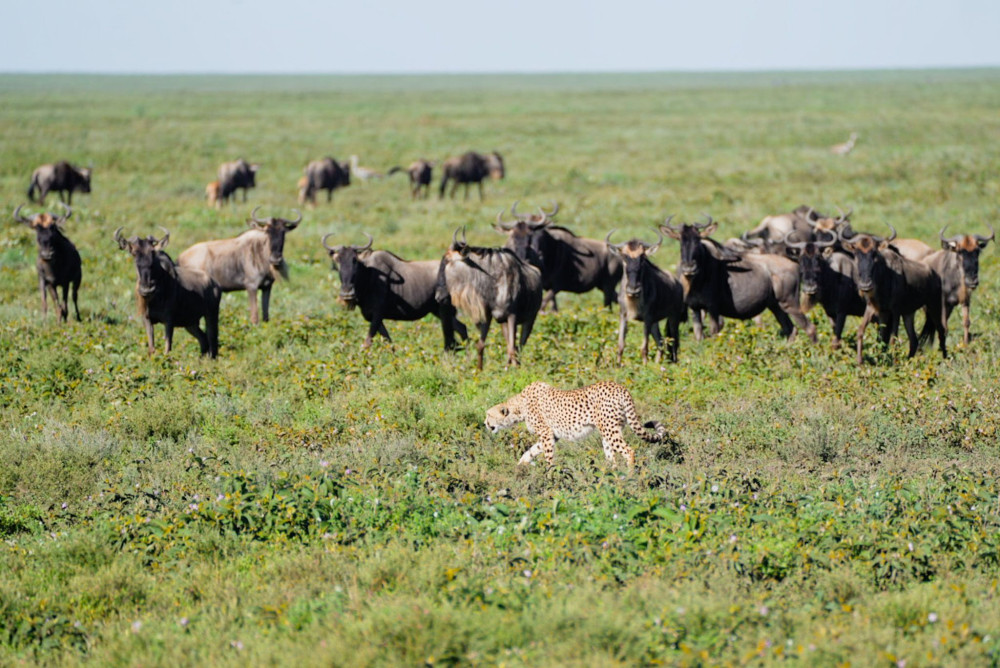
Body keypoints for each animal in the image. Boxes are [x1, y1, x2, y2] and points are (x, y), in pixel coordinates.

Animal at [482, 380, 668, 470]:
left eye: (488, 415)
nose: (484, 423)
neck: (520, 405)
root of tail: (620, 387)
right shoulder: (552, 436)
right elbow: (530, 451)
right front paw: (520, 466)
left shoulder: (546, 434)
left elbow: (548, 457)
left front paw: (550, 476)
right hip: (609, 431)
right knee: (611, 456)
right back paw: (611, 476)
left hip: (609, 430)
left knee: (628, 451)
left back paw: (628, 477)